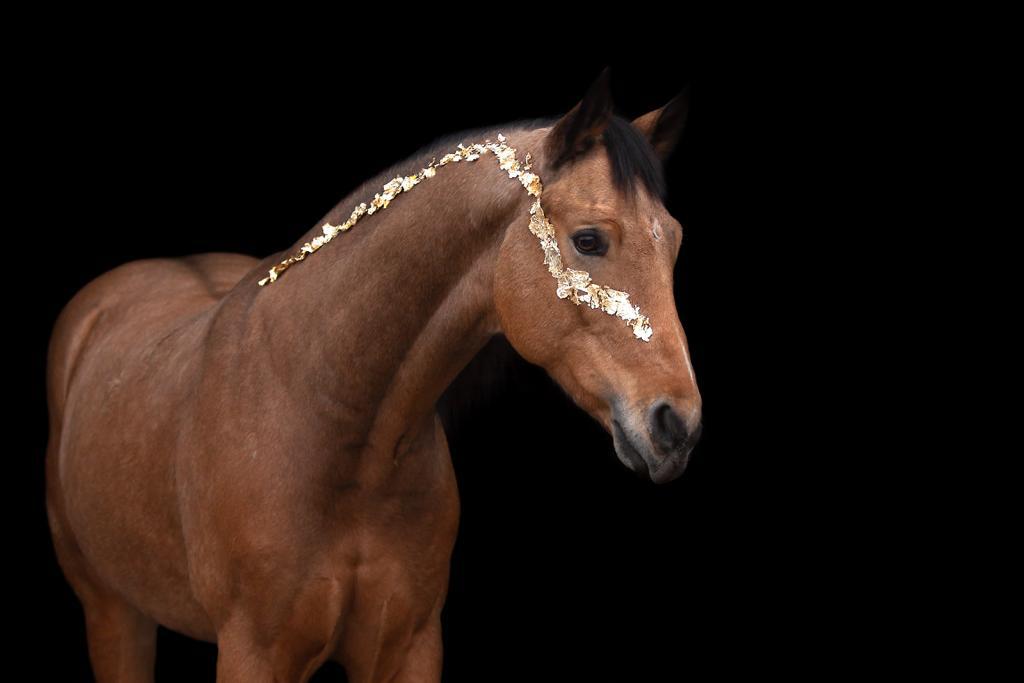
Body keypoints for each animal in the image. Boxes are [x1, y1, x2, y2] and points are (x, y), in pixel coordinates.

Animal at [44, 69, 702, 682]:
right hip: (114, 614)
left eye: (672, 242)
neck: (332, 425)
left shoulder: (408, 647)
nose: (678, 425)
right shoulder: (252, 653)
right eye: (589, 240)